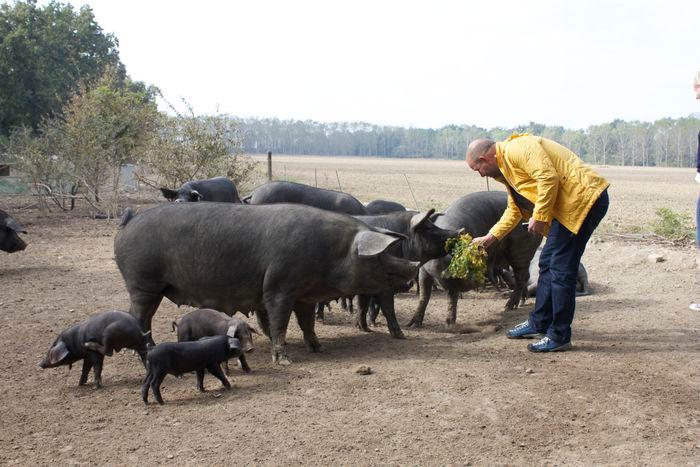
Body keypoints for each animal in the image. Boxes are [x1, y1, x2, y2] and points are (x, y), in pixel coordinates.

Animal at [115, 204, 418, 366]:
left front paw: (319, 349)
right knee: (139, 317)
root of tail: (127, 224)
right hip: (143, 284)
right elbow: (279, 322)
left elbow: (307, 323)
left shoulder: (305, 296)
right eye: (381, 256)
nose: (414, 265)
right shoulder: (279, 288)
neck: (330, 253)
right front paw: (284, 360)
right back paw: (146, 353)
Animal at [404, 192, 540, 328]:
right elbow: (424, 296)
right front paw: (412, 325)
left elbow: (452, 298)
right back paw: (520, 303)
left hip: (522, 250)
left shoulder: (454, 281)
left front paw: (449, 325)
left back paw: (509, 307)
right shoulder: (424, 270)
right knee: (524, 277)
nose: (472, 280)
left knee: (520, 277)